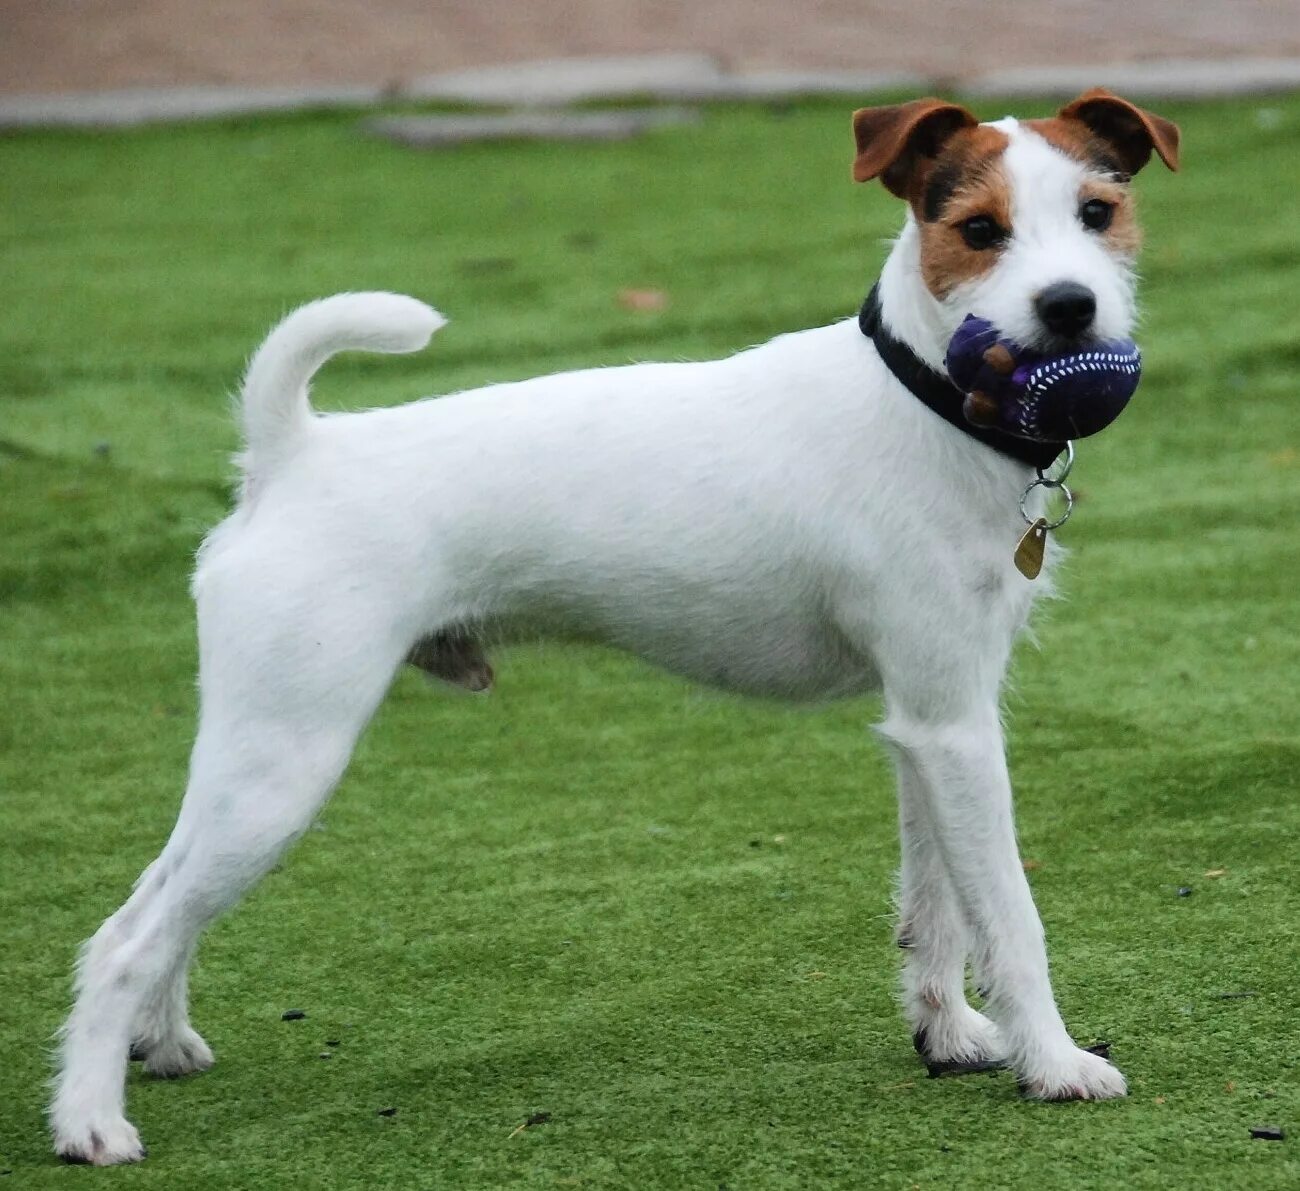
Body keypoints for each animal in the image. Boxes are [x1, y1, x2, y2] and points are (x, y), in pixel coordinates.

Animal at [53, 85, 1180, 1164]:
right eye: (978, 229)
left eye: (1099, 211)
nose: (1069, 306)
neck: (928, 397)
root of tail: (289, 454)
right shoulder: (952, 731)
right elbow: (1012, 916)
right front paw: (1057, 1062)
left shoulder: (935, 720)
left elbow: (938, 908)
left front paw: (949, 1035)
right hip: (287, 760)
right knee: (123, 940)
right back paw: (90, 1125)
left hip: (251, 758)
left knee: (158, 896)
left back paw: (163, 1042)